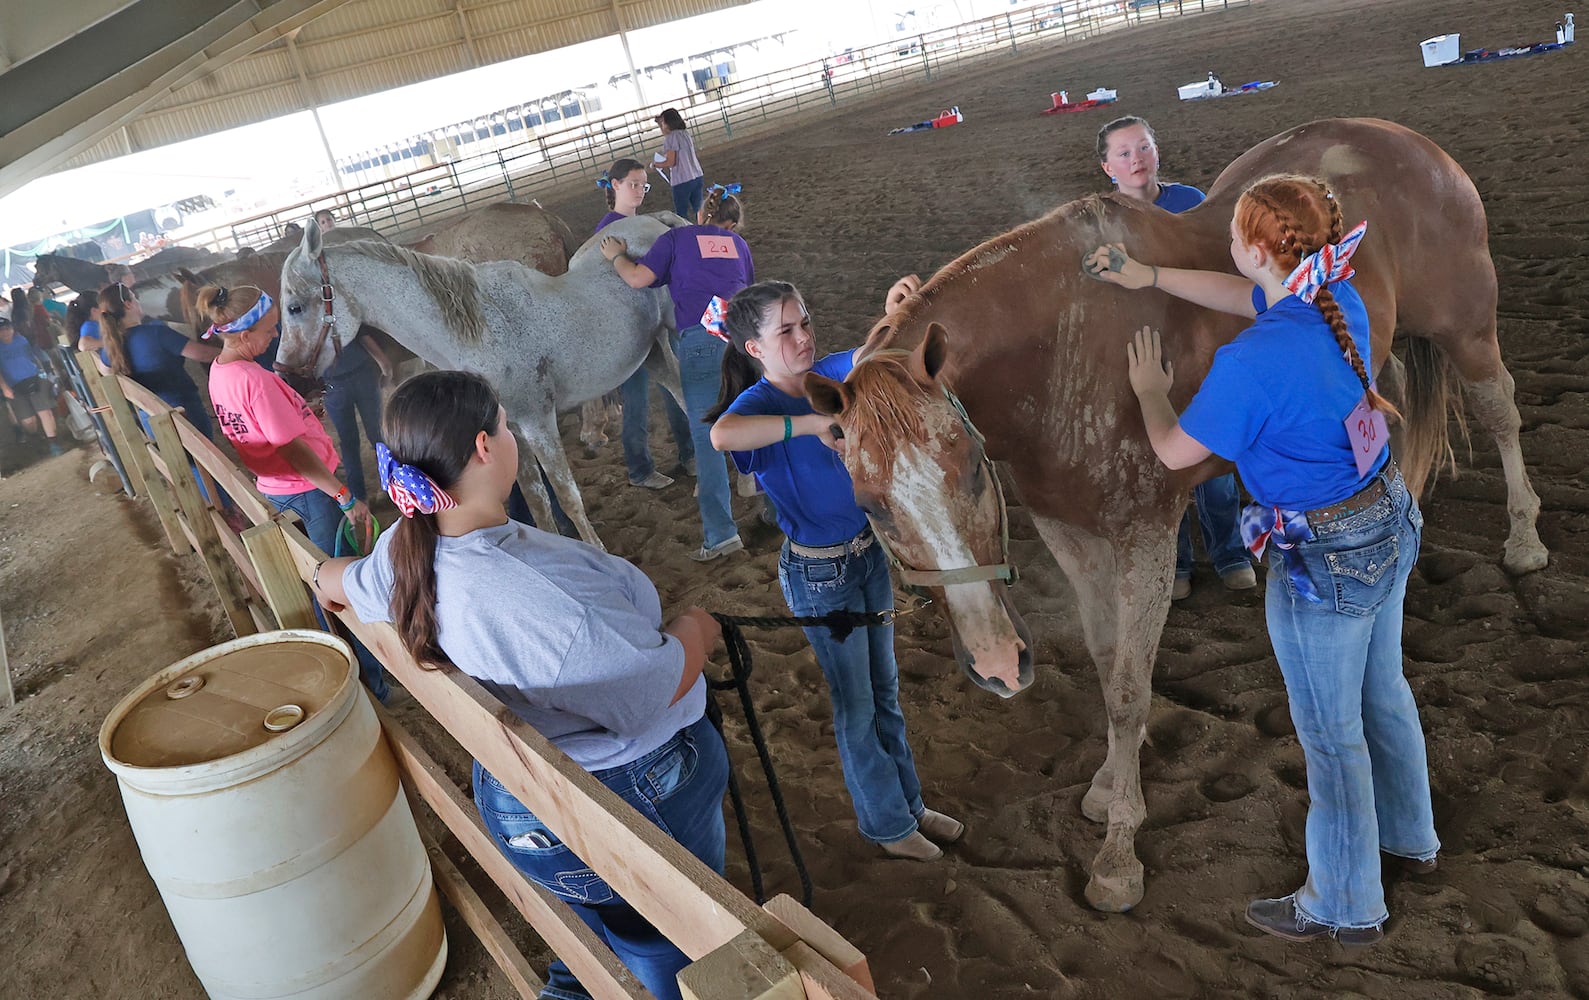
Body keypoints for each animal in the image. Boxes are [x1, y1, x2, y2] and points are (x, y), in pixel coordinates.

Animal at [800, 116, 1544, 915]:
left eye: (970, 468)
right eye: (871, 506)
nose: (1000, 665)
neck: (1059, 348)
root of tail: (1402, 140)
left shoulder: (1145, 536)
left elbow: (1130, 688)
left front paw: (1117, 854)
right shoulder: (1071, 534)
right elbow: (1106, 662)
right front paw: (1104, 784)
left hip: (1466, 326)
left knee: (1499, 411)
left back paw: (1524, 539)